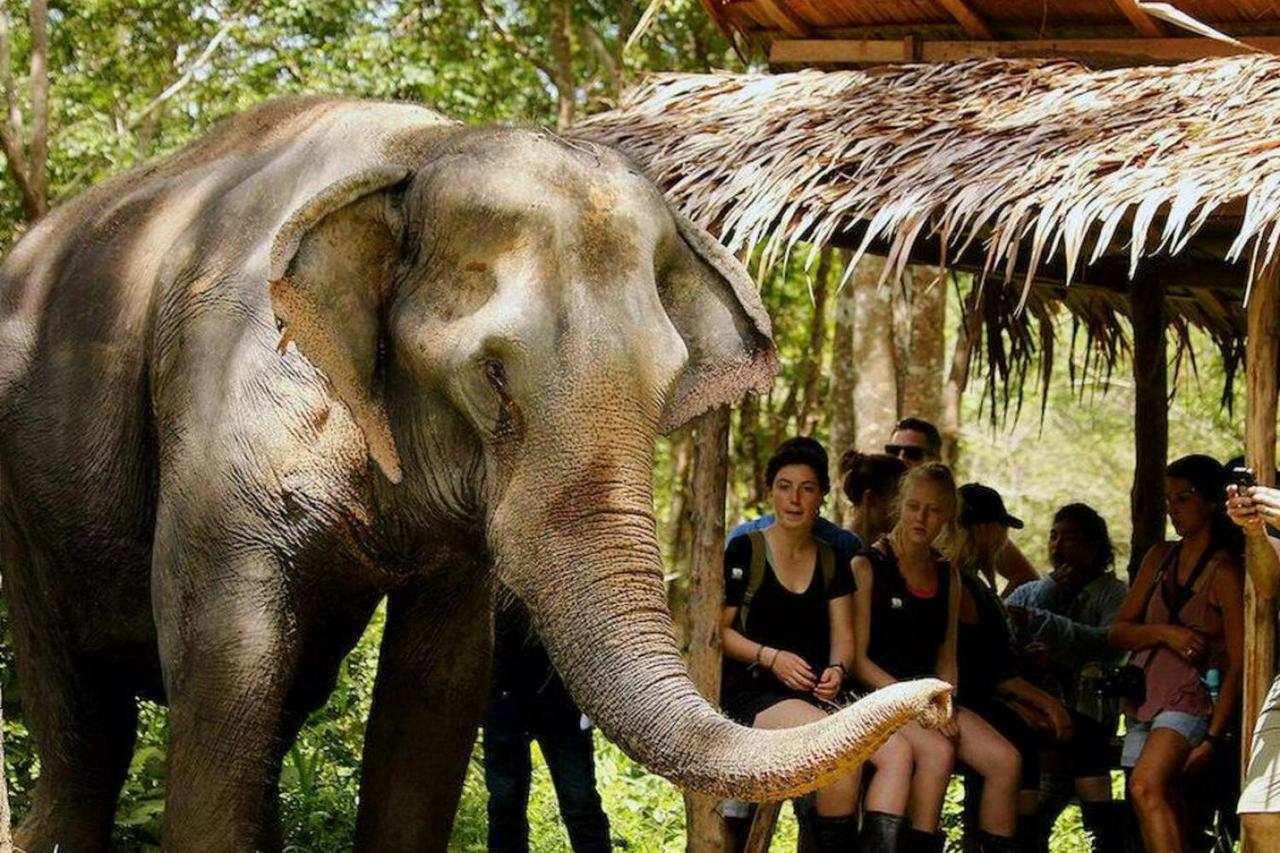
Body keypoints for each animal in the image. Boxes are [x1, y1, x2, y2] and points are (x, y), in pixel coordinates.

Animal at [0, 96, 951, 852]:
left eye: (667, 385)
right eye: (492, 375)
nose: (942, 696)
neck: (421, 150)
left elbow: (438, 688)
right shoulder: (219, 417)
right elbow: (227, 659)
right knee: (90, 729)